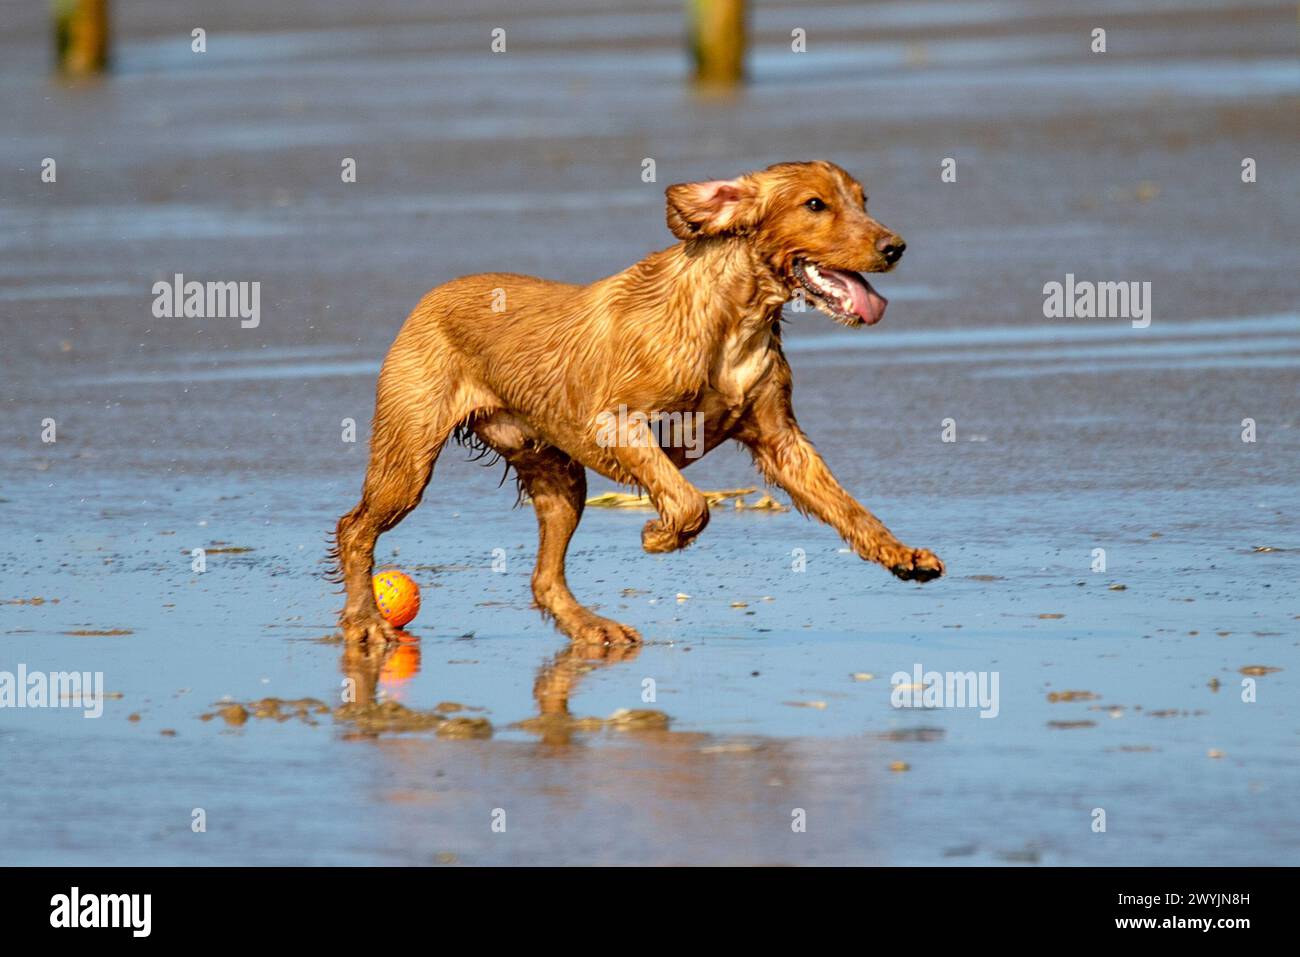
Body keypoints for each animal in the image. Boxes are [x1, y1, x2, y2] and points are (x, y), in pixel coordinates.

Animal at [332, 162, 946, 642]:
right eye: (814, 204)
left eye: (862, 200)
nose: (895, 247)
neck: (734, 317)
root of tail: (430, 296)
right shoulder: (616, 422)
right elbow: (691, 502)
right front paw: (662, 534)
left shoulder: (781, 440)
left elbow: (850, 508)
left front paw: (904, 555)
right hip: (408, 457)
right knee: (354, 528)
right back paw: (365, 622)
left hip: (557, 475)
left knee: (544, 579)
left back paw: (593, 629)